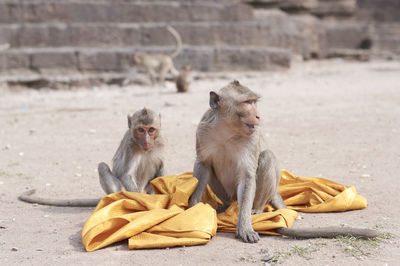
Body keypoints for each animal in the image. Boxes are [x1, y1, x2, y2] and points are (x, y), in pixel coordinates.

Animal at [18, 107, 164, 207]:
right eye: (141, 130)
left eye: (151, 130)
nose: (146, 141)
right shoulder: (130, 146)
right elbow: (125, 174)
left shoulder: (160, 143)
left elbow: (161, 166)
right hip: (122, 190)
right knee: (102, 167)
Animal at [189, 80, 380, 242]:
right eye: (247, 103)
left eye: (254, 102)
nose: (258, 116)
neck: (227, 130)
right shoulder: (203, 131)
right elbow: (203, 166)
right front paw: (192, 207)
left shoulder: (252, 137)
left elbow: (247, 177)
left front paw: (244, 226)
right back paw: (225, 207)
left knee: (267, 157)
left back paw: (256, 209)